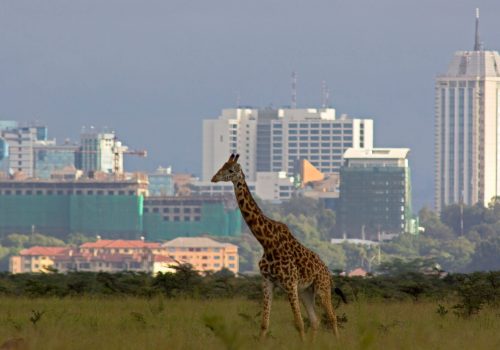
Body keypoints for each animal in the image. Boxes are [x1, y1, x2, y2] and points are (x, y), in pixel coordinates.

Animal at [210, 153, 344, 340]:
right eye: (222, 166)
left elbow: (299, 323)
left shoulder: (290, 283)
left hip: (322, 288)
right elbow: (264, 324)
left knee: (332, 317)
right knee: (315, 320)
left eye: (230, 170)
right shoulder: (267, 282)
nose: (214, 178)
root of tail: (327, 270)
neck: (267, 242)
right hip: (306, 291)